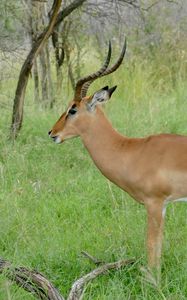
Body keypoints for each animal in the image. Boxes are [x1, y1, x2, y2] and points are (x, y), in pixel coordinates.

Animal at [48, 39, 187, 278]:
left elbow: (152, 247)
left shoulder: (154, 204)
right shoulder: (163, 206)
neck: (132, 151)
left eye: (72, 109)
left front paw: (153, 282)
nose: (52, 133)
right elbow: (158, 247)